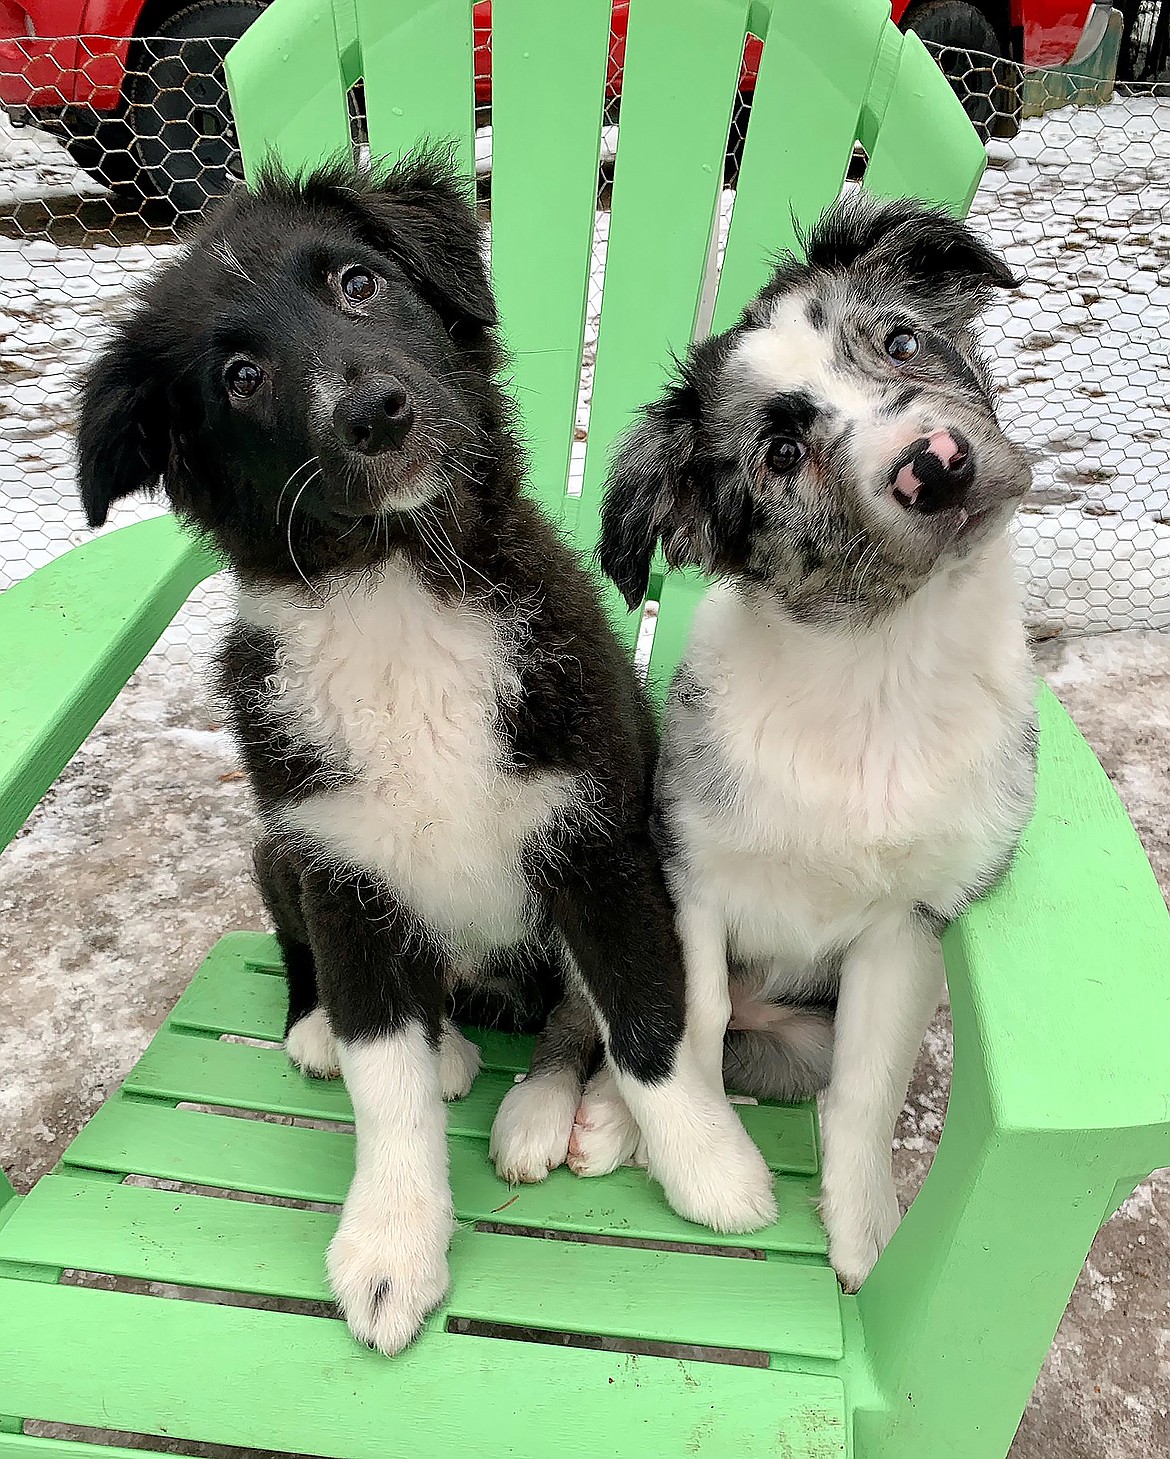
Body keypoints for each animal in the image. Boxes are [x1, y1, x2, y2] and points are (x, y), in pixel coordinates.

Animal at [598, 194, 1032, 1289]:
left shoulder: (907, 924)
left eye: (903, 340)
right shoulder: (692, 877)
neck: (876, 665)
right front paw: (694, 1154)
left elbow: (868, 1084)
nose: (937, 466)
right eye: (783, 456)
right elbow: (692, 1019)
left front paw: (864, 1229)